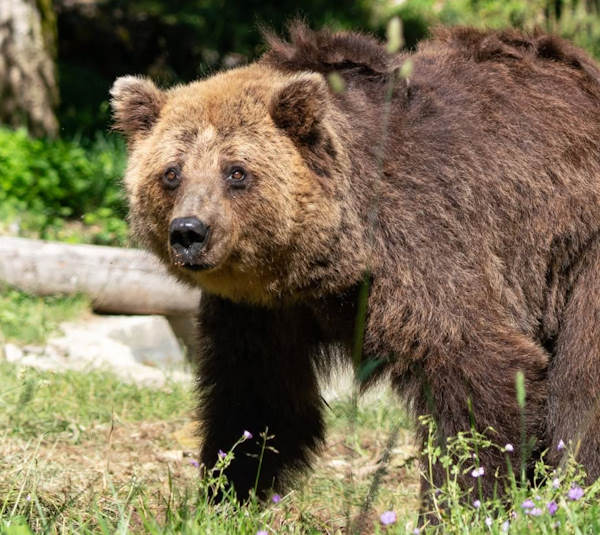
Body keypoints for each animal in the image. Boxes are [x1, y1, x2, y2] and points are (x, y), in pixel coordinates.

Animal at [110, 23, 600, 510]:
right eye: (171, 173)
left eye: (236, 172)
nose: (189, 232)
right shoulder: (262, 311)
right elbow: (257, 396)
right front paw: (228, 492)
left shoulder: (422, 245)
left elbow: (478, 366)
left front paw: (461, 503)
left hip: (578, 248)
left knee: (581, 380)